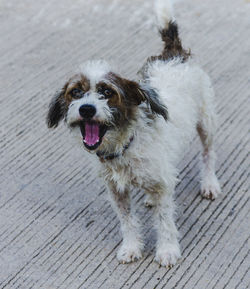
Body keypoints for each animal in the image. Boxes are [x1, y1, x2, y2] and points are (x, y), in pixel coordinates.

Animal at [46, 0, 221, 266]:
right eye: (76, 92)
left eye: (107, 92)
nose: (87, 109)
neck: (125, 145)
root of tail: (173, 54)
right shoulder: (117, 190)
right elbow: (127, 221)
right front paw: (131, 247)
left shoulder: (160, 186)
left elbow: (164, 221)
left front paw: (167, 251)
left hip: (206, 121)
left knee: (208, 153)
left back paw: (210, 183)